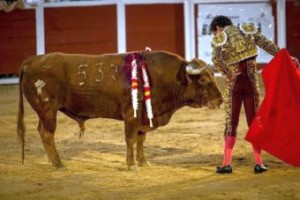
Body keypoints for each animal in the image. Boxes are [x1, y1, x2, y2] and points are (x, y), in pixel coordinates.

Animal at [17, 50, 223, 170]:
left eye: (213, 76)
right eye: (203, 79)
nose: (220, 100)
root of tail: (31, 61)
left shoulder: (143, 116)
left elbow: (141, 139)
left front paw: (143, 162)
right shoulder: (131, 113)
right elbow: (130, 138)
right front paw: (131, 165)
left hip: (44, 113)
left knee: (42, 131)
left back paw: (53, 162)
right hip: (48, 110)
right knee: (47, 134)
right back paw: (59, 164)